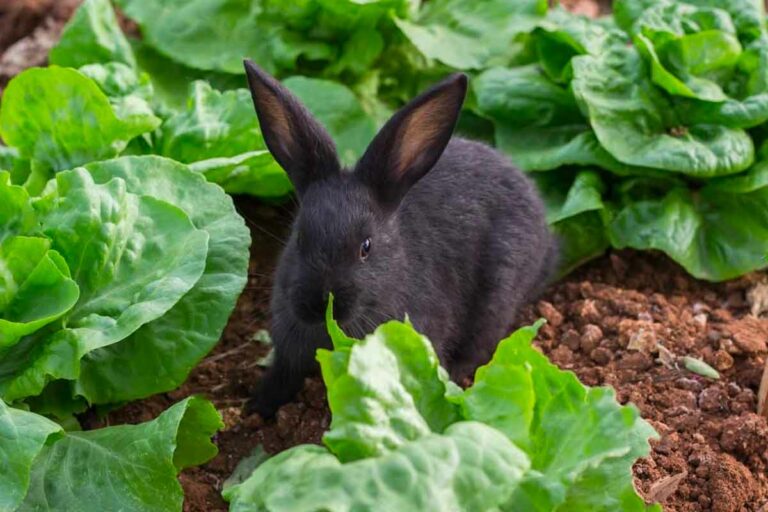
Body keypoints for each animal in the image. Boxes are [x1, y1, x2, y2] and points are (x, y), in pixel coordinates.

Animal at [242, 59, 558, 418]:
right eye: (298, 237)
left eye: (366, 247)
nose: (319, 303)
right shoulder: (289, 349)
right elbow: (283, 374)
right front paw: (258, 406)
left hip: (499, 294)